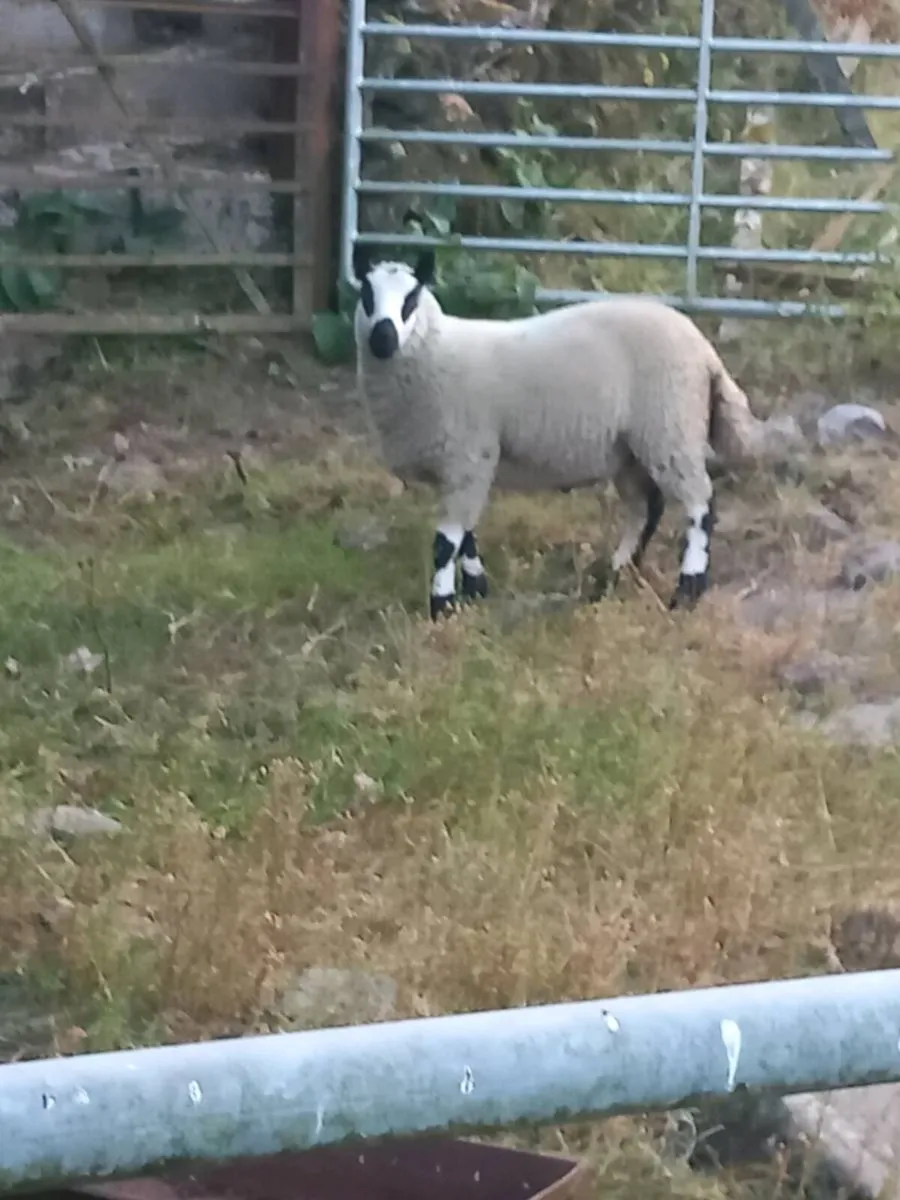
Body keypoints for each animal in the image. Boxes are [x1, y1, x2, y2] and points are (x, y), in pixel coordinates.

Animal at [352, 243, 764, 619]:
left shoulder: (468, 455)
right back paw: (615, 575)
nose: (382, 339)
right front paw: (474, 589)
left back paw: (687, 590)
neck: (434, 349)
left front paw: (442, 606)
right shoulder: (462, 466)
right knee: (647, 507)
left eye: (411, 299)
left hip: (670, 426)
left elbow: (445, 542)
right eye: (366, 293)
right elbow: (465, 536)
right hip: (630, 447)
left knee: (699, 505)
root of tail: (704, 350)